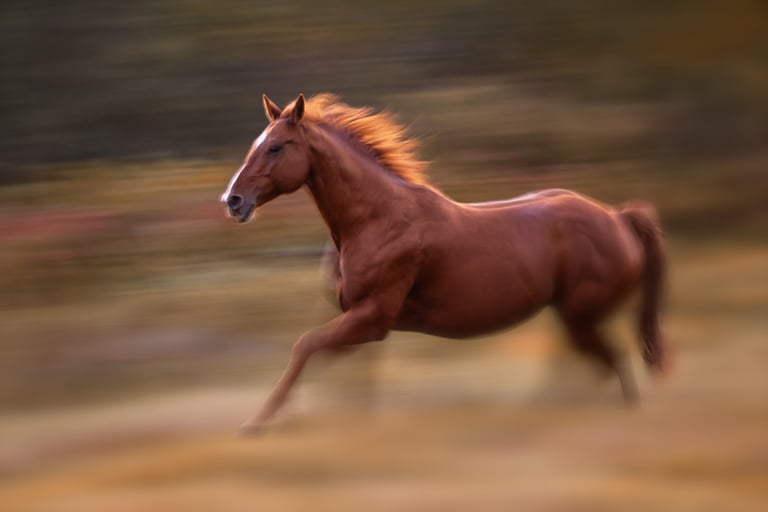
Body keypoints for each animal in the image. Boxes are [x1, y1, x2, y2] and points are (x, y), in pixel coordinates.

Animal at [220, 93, 669, 434]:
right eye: (256, 143)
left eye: (276, 146)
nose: (233, 201)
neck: (375, 219)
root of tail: (618, 218)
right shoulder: (358, 321)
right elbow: (347, 377)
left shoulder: (373, 317)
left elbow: (304, 348)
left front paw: (256, 424)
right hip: (572, 317)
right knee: (588, 369)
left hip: (580, 316)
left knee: (612, 367)